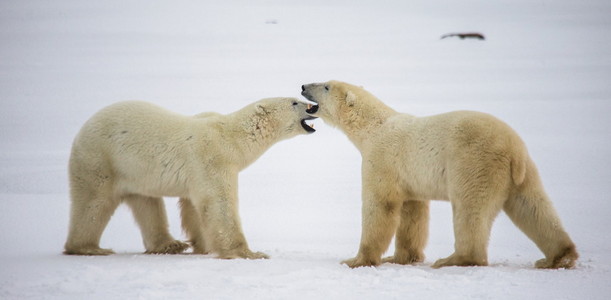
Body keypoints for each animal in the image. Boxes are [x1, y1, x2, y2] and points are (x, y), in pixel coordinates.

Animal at [64, 98, 318, 258]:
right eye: (294, 102)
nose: (313, 106)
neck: (230, 138)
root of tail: (81, 131)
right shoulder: (212, 159)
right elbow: (219, 204)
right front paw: (249, 253)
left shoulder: (200, 173)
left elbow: (194, 208)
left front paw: (204, 246)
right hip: (101, 160)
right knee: (94, 203)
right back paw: (89, 248)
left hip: (135, 171)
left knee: (147, 203)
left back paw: (169, 245)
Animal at [304, 79, 580, 270]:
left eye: (326, 86)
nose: (304, 85)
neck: (373, 128)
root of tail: (513, 148)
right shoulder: (409, 175)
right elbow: (413, 212)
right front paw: (401, 256)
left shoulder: (382, 160)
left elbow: (380, 205)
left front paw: (356, 260)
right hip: (522, 174)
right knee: (532, 206)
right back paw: (558, 257)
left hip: (474, 163)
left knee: (469, 209)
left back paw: (453, 259)